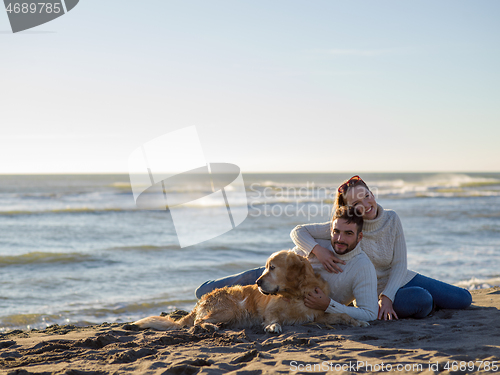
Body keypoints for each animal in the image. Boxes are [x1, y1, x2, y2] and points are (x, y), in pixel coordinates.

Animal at [133, 250, 368, 334]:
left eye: (272, 268)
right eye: (265, 267)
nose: (257, 281)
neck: (297, 293)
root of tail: (200, 302)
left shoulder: (317, 314)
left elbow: (342, 314)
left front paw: (357, 321)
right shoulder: (270, 310)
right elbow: (273, 317)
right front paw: (273, 326)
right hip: (230, 309)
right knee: (199, 322)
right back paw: (210, 326)